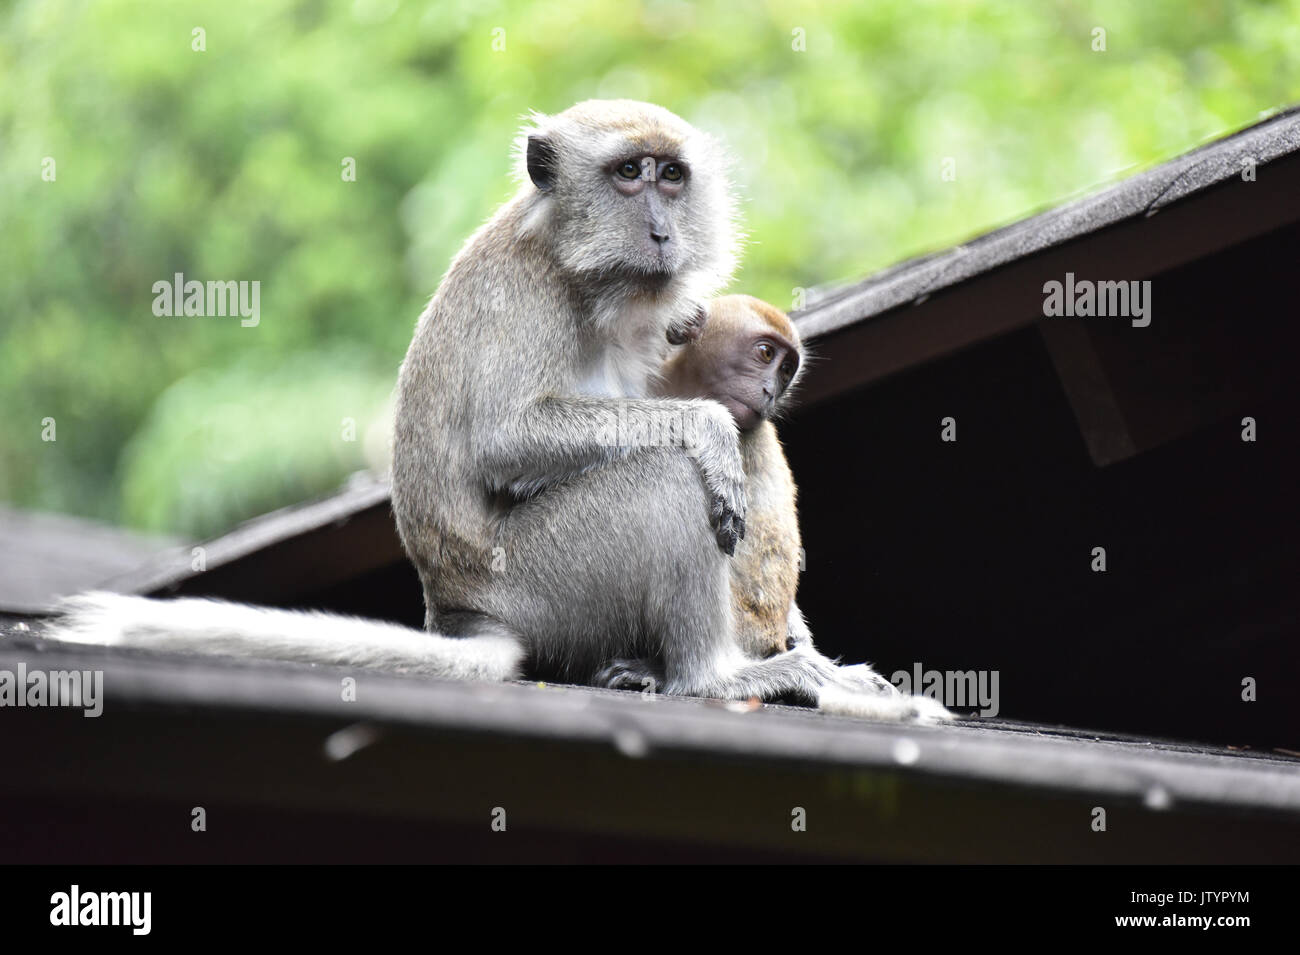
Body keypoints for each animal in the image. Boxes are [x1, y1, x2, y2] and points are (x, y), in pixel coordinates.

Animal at [47, 101, 947, 720]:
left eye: (670, 176)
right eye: (628, 174)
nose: (661, 231)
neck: (583, 270)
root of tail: (464, 612)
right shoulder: (529, 295)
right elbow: (506, 443)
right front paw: (710, 429)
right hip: (547, 581)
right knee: (661, 478)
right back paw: (711, 676)